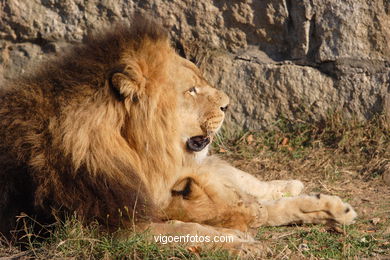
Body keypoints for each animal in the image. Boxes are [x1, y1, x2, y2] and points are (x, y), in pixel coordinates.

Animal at [0, 18, 354, 256]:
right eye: (191, 90)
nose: (228, 104)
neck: (137, 154)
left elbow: (245, 207)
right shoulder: (106, 229)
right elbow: (188, 229)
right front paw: (241, 242)